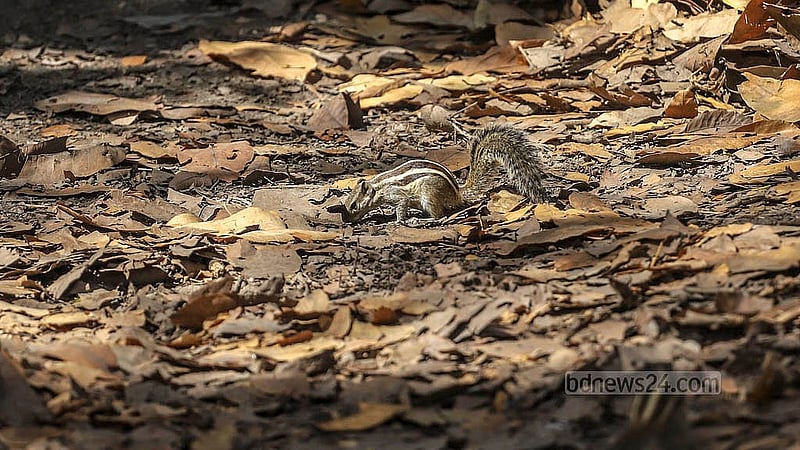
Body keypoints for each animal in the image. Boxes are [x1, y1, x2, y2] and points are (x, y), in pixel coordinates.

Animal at [341, 122, 549, 222]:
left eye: (354, 206)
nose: (346, 221)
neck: (379, 185)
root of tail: (457, 193)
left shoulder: (397, 195)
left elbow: (401, 205)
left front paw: (397, 221)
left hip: (429, 194)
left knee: (439, 215)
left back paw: (424, 220)